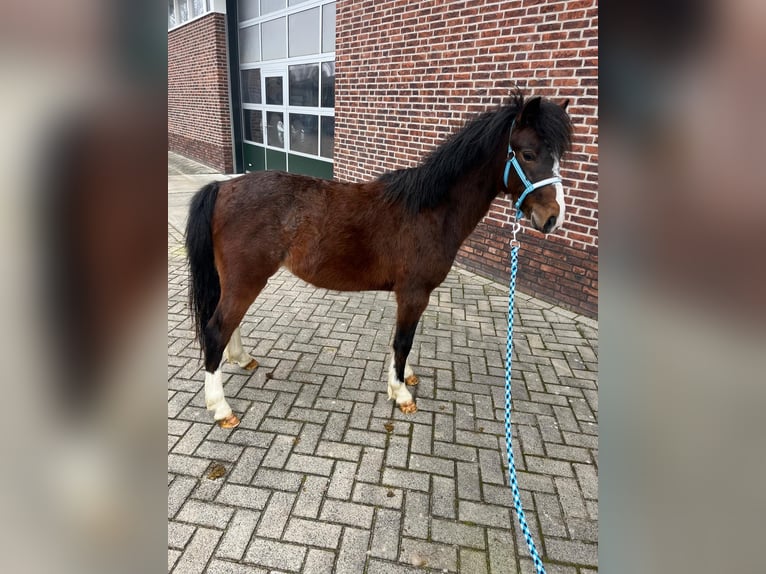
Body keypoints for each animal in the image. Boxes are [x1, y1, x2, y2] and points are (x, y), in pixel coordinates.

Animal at [185, 92, 573, 428]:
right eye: (527, 153)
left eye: (557, 157)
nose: (553, 218)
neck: (430, 209)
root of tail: (223, 186)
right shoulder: (414, 293)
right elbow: (403, 341)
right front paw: (400, 393)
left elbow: (403, 340)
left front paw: (404, 377)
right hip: (246, 280)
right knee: (217, 329)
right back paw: (221, 409)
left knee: (228, 324)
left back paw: (241, 359)